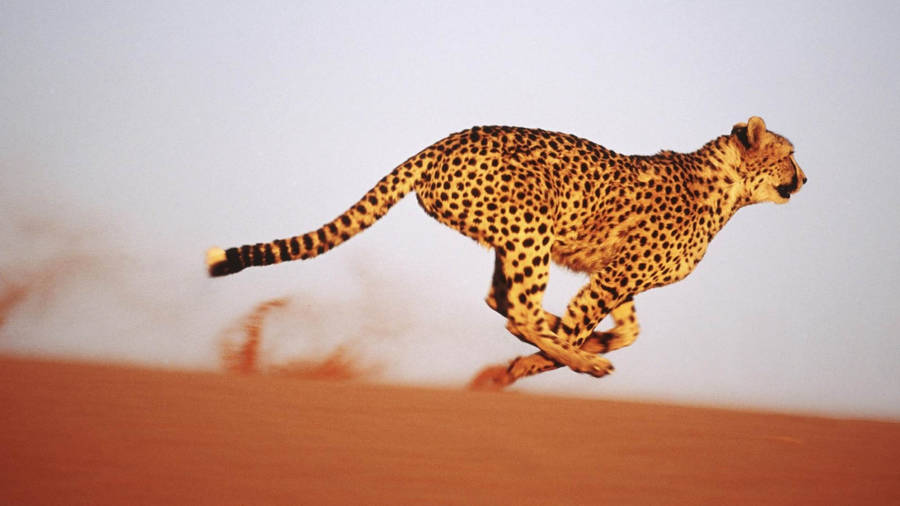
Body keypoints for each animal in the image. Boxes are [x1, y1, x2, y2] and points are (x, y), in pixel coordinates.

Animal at [206, 116, 806, 389]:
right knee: (515, 310)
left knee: (502, 301)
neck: (729, 189)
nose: (805, 177)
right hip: (533, 223)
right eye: (789, 154)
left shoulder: (615, 275)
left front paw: (590, 341)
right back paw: (574, 358)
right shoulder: (615, 277)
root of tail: (444, 140)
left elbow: (628, 329)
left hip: (512, 236)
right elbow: (579, 325)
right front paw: (543, 361)